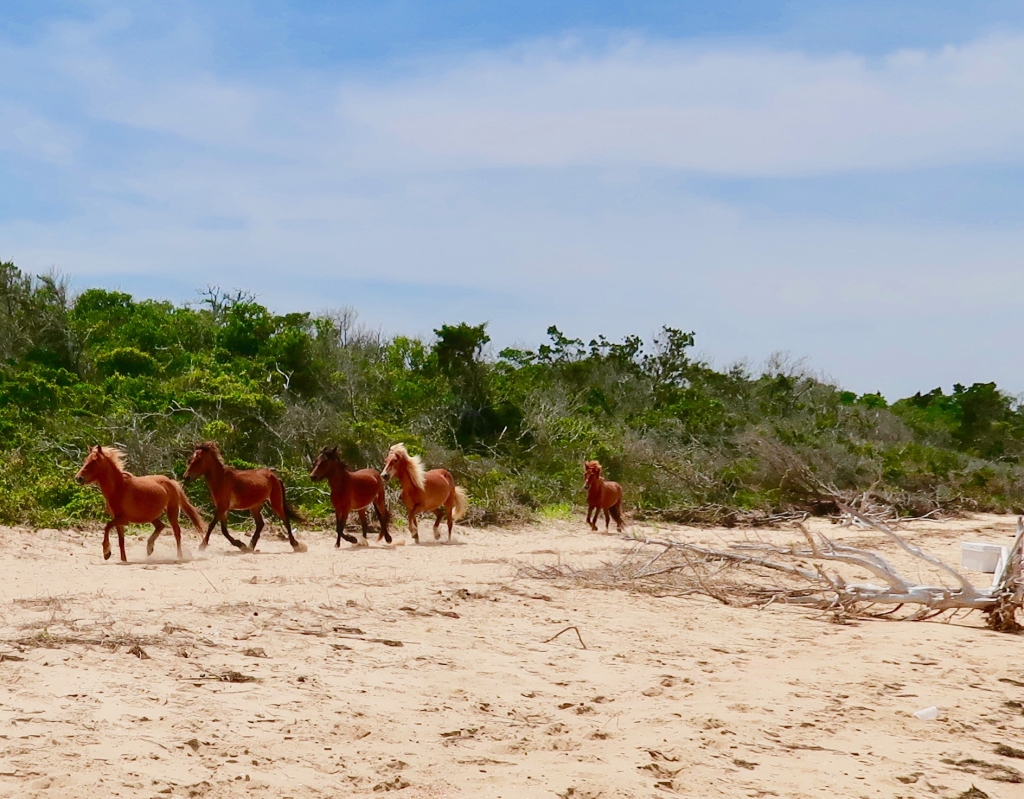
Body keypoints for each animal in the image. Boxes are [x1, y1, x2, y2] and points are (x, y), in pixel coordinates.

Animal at [74, 442, 205, 561]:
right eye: (85, 460)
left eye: (93, 462)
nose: (78, 478)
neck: (118, 488)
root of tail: (170, 481)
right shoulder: (118, 521)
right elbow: (121, 541)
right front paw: (123, 560)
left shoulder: (123, 519)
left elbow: (107, 527)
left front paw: (106, 552)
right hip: (150, 515)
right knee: (160, 526)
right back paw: (149, 548)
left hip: (171, 511)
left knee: (176, 532)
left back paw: (179, 556)